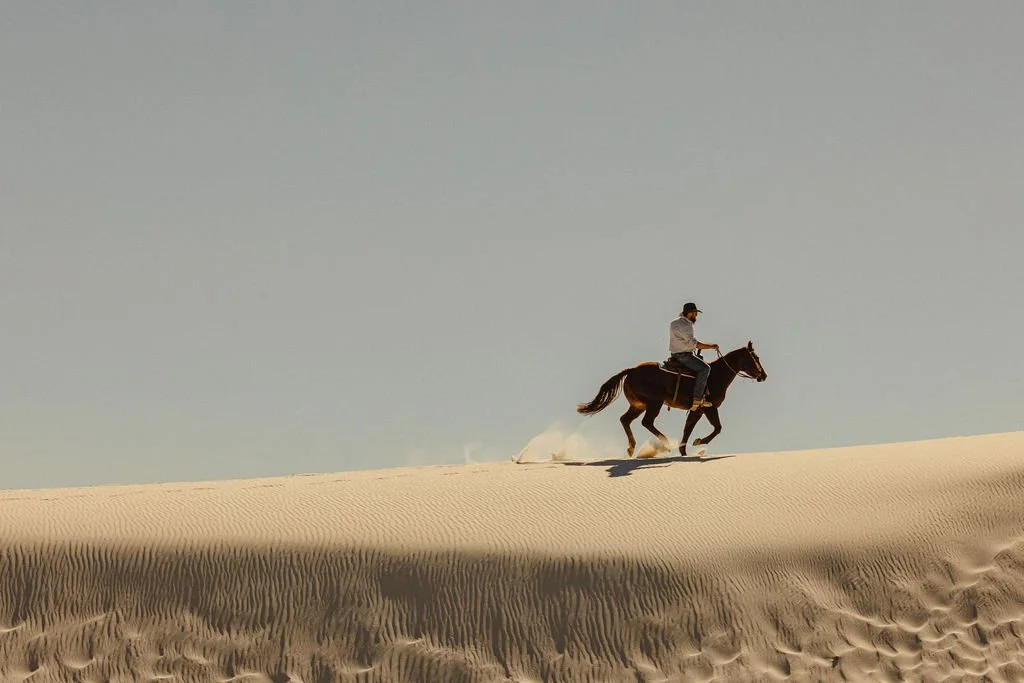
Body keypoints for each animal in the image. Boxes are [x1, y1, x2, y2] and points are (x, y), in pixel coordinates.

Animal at [576, 342, 767, 457]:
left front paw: (683, 452)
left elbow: (687, 430)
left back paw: (631, 448)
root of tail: (631, 371)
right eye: (755, 358)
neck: (716, 375)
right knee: (646, 422)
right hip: (654, 403)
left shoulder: (697, 410)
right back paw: (666, 444)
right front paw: (699, 442)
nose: (763, 375)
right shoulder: (709, 407)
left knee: (625, 420)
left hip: (638, 405)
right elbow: (717, 428)